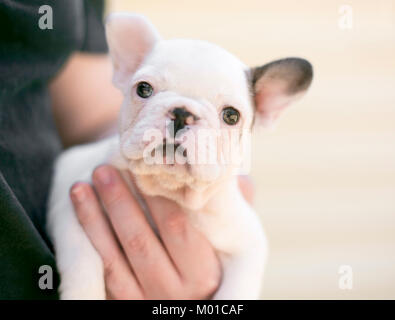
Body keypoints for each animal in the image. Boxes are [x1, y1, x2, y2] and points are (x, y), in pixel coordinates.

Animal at [46, 11, 312, 298]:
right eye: (143, 89)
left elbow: (238, 287)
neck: (169, 187)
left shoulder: (247, 244)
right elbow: (83, 263)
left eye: (231, 115)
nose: (183, 113)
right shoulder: (73, 208)